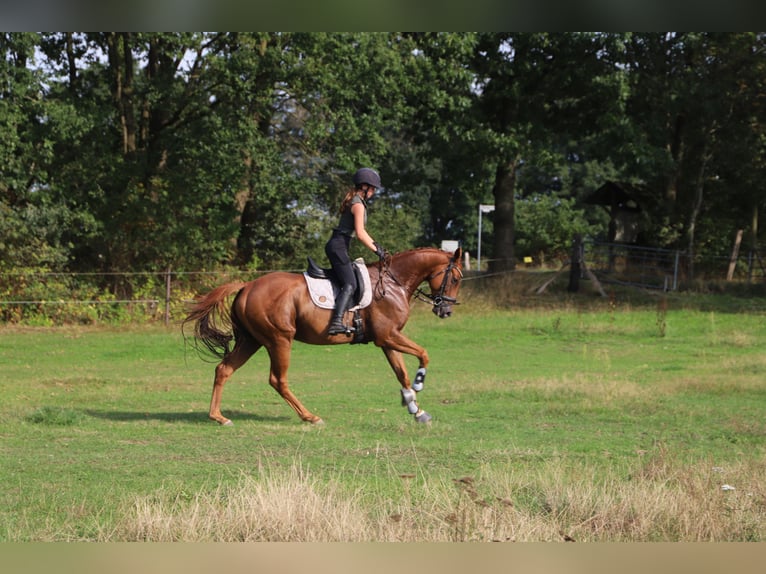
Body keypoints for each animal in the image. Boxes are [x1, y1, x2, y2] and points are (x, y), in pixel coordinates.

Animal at [183, 247, 463, 426]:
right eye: (456, 278)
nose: (446, 311)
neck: (394, 282)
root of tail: (247, 286)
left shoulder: (388, 339)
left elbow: (401, 372)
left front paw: (415, 409)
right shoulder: (388, 337)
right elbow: (423, 354)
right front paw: (418, 385)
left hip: (251, 341)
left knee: (224, 370)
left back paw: (218, 417)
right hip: (279, 339)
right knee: (277, 380)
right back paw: (310, 417)